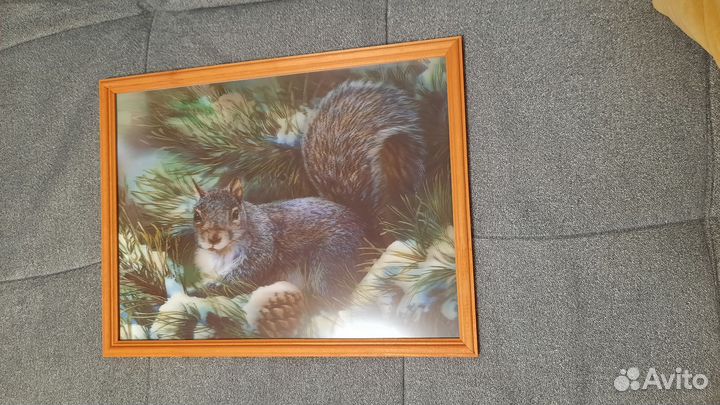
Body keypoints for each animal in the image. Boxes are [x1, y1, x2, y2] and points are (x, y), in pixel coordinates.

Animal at [191, 80, 426, 303]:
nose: (213, 238)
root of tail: (370, 235)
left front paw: (207, 290)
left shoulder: (263, 245)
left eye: (235, 213)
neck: (224, 251)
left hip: (330, 262)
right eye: (197, 215)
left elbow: (248, 274)